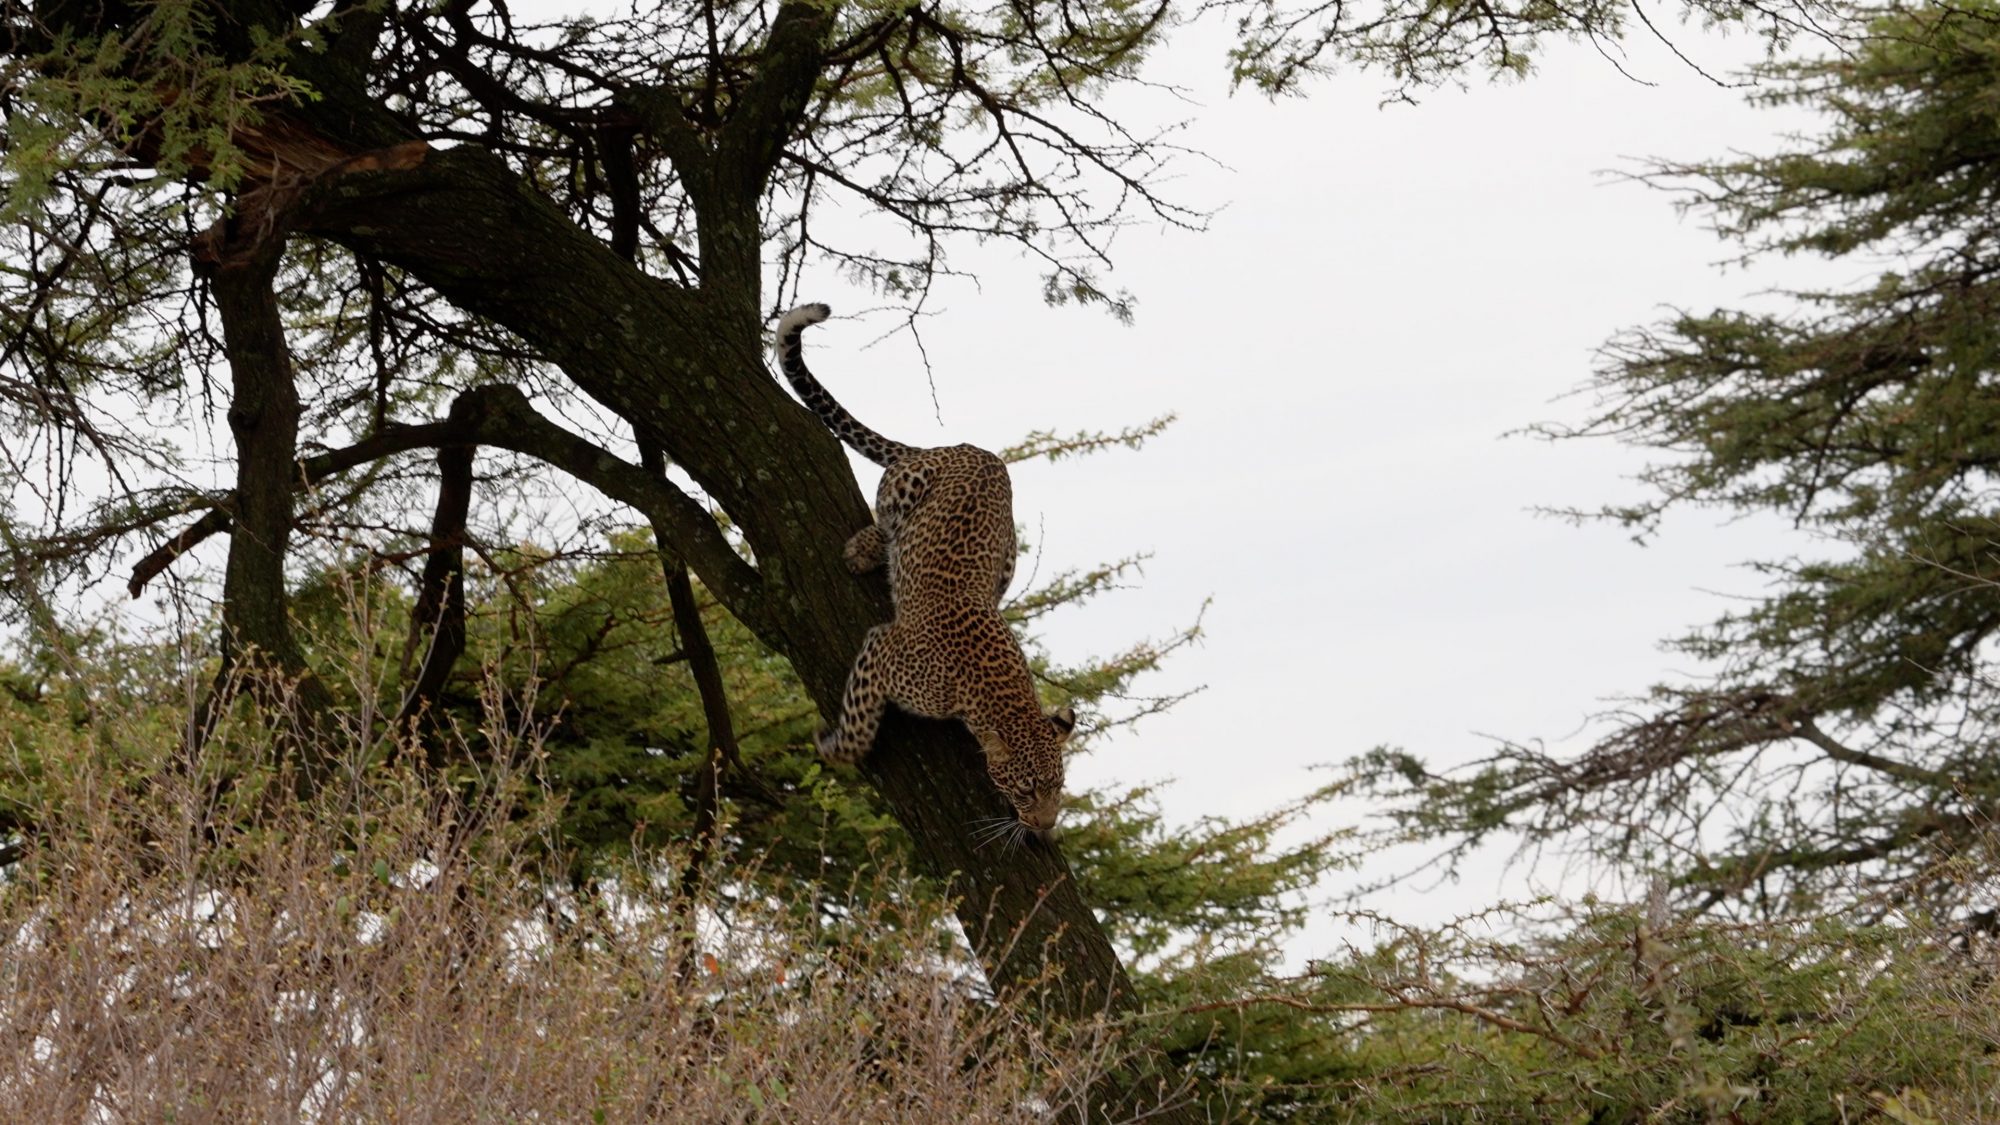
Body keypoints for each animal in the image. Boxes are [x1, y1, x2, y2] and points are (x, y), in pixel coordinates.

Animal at [776, 302, 1080, 836]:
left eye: (1058, 787)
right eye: (1025, 790)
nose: (1044, 827)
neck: (996, 694)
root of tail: (966, 447)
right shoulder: (882, 647)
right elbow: (859, 719)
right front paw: (836, 748)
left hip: (1007, 558)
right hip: (908, 483)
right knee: (884, 514)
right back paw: (866, 548)